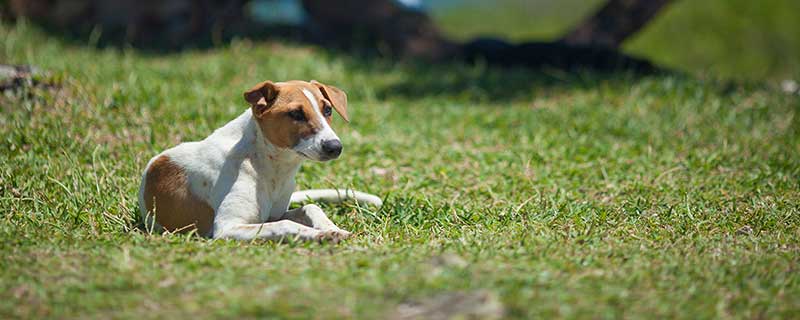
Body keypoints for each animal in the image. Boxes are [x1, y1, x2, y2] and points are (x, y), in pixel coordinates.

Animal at [137, 80, 382, 242]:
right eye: (296, 114)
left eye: (328, 109)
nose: (335, 147)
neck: (271, 166)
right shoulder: (228, 227)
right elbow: (285, 225)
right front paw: (320, 234)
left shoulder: (275, 214)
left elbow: (310, 208)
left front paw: (331, 228)